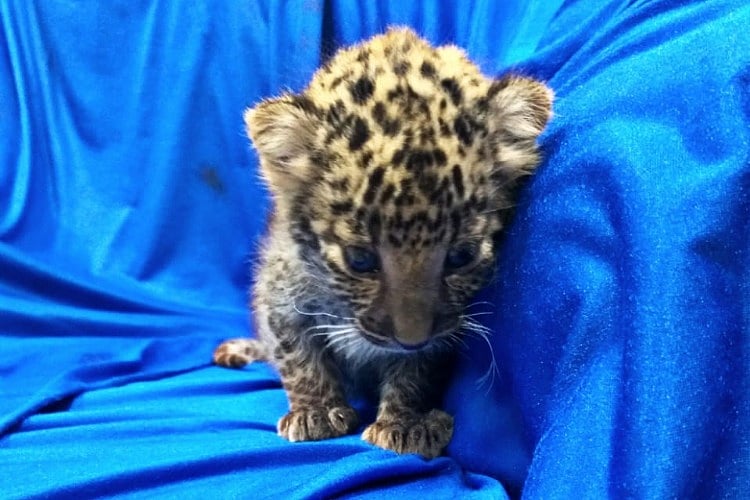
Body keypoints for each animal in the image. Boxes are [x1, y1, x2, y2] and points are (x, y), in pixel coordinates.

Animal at [214, 27, 553, 459]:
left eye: (461, 256)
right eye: (360, 260)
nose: (410, 339)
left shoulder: (441, 338)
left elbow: (417, 370)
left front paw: (405, 422)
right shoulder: (279, 293)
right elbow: (296, 353)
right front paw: (315, 411)